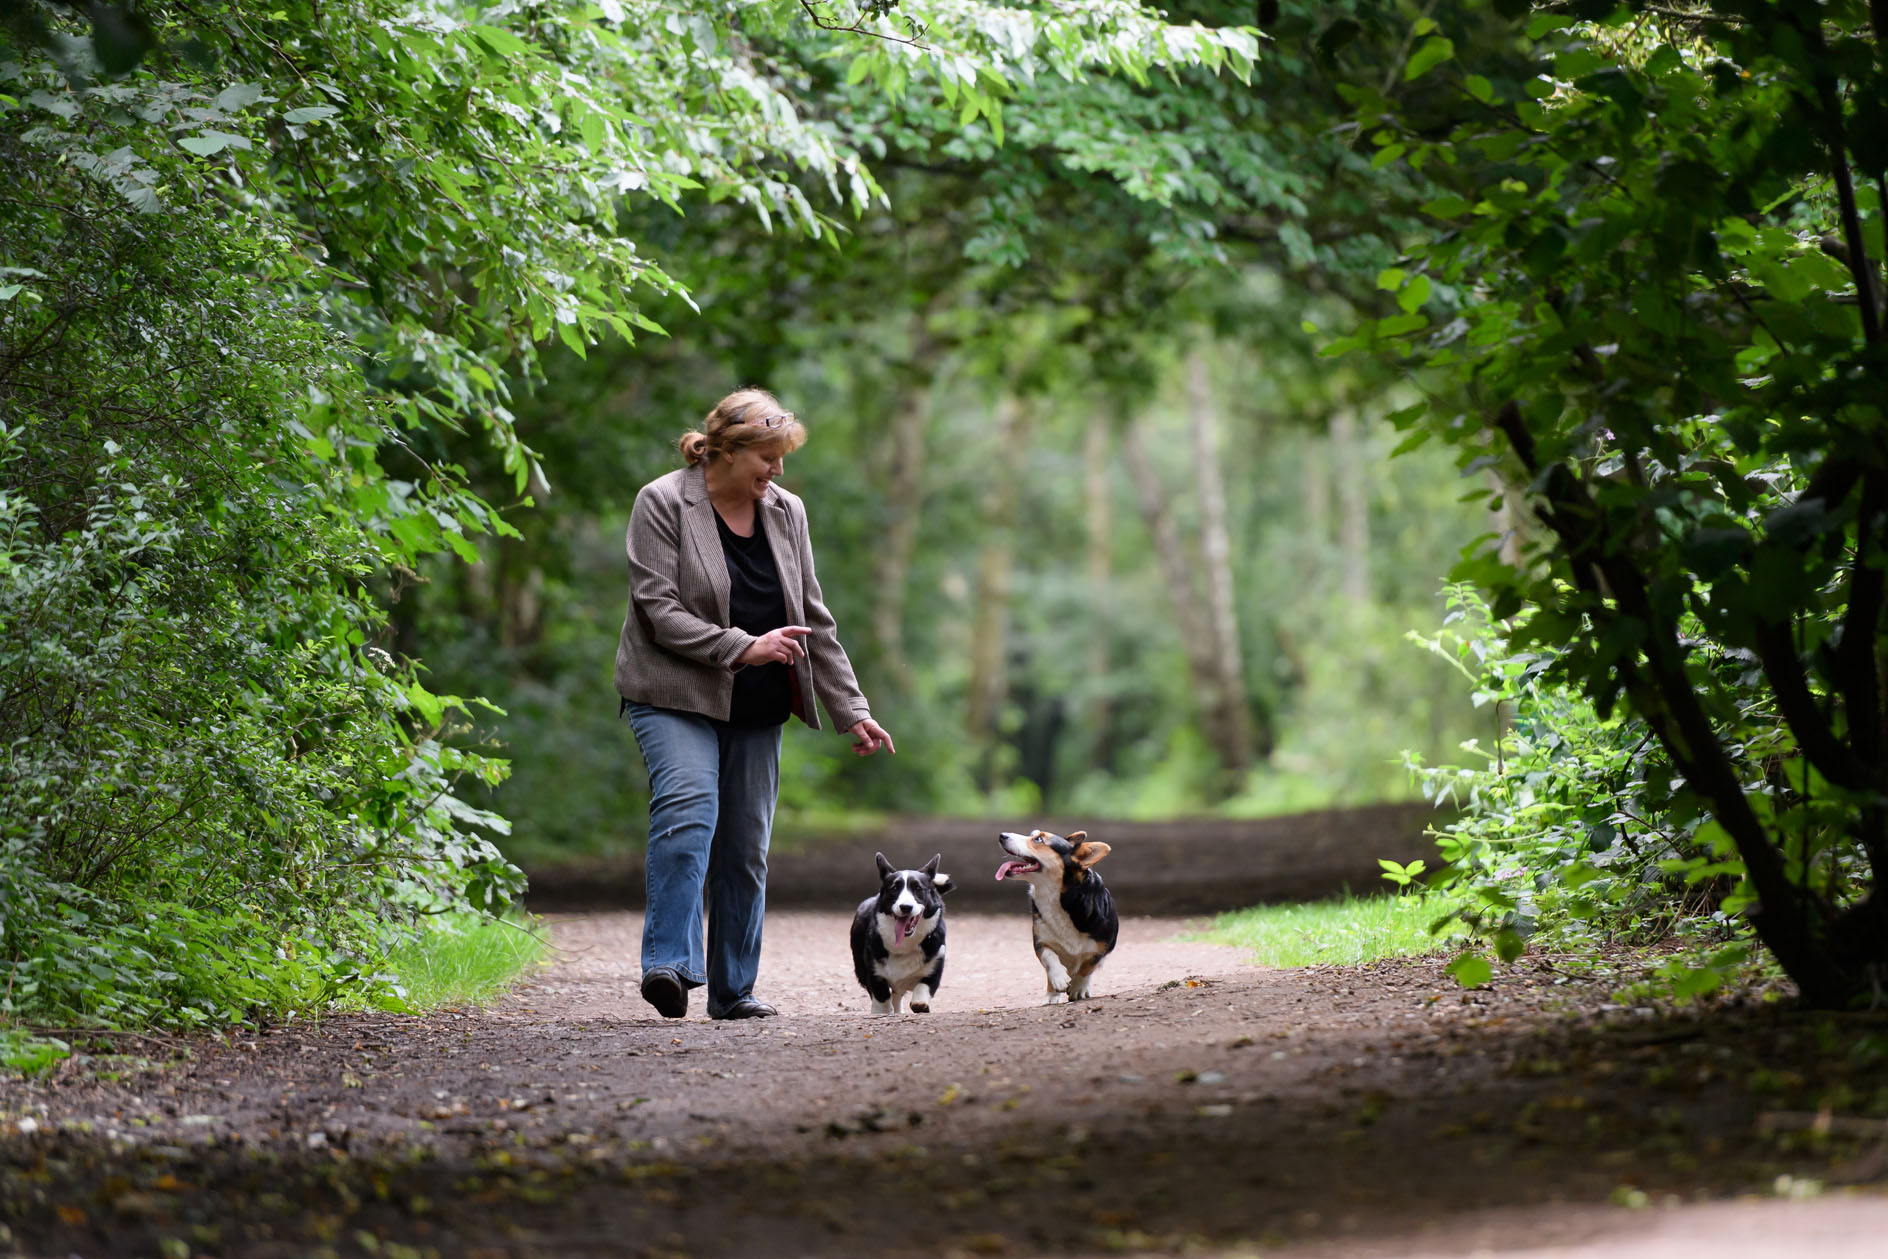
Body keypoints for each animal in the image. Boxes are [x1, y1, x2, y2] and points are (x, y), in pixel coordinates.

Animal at [849, 853, 951, 1019]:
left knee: (898, 995)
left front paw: (920, 1004)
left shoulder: (935, 965)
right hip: (860, 967)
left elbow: (923, 987)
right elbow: (882, 998)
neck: (904, 944)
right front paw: (881, 1011)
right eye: (894, 888)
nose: (906, 907)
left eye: (918, 888)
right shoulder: (875, 974)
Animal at [996, 826, 1110, 1004]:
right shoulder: (1040, 940)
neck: (1056, 897)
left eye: (1038, 839)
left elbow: (1087, 967)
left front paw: (1078, 988)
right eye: (1032, 835)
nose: (1002, 835)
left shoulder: (1102, 946)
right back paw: (1052, 994)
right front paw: (1059, 981)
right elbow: (1049, 958)